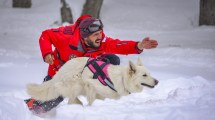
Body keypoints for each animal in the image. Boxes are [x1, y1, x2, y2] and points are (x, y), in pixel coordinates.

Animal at [26, 57, 158, 105]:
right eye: (144, 75)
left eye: (149, 74)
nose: (157, 81)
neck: (121, 78)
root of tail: (60, 71)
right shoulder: (91, 84)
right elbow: (91, 97)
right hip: (76, 84)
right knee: (72, 99)